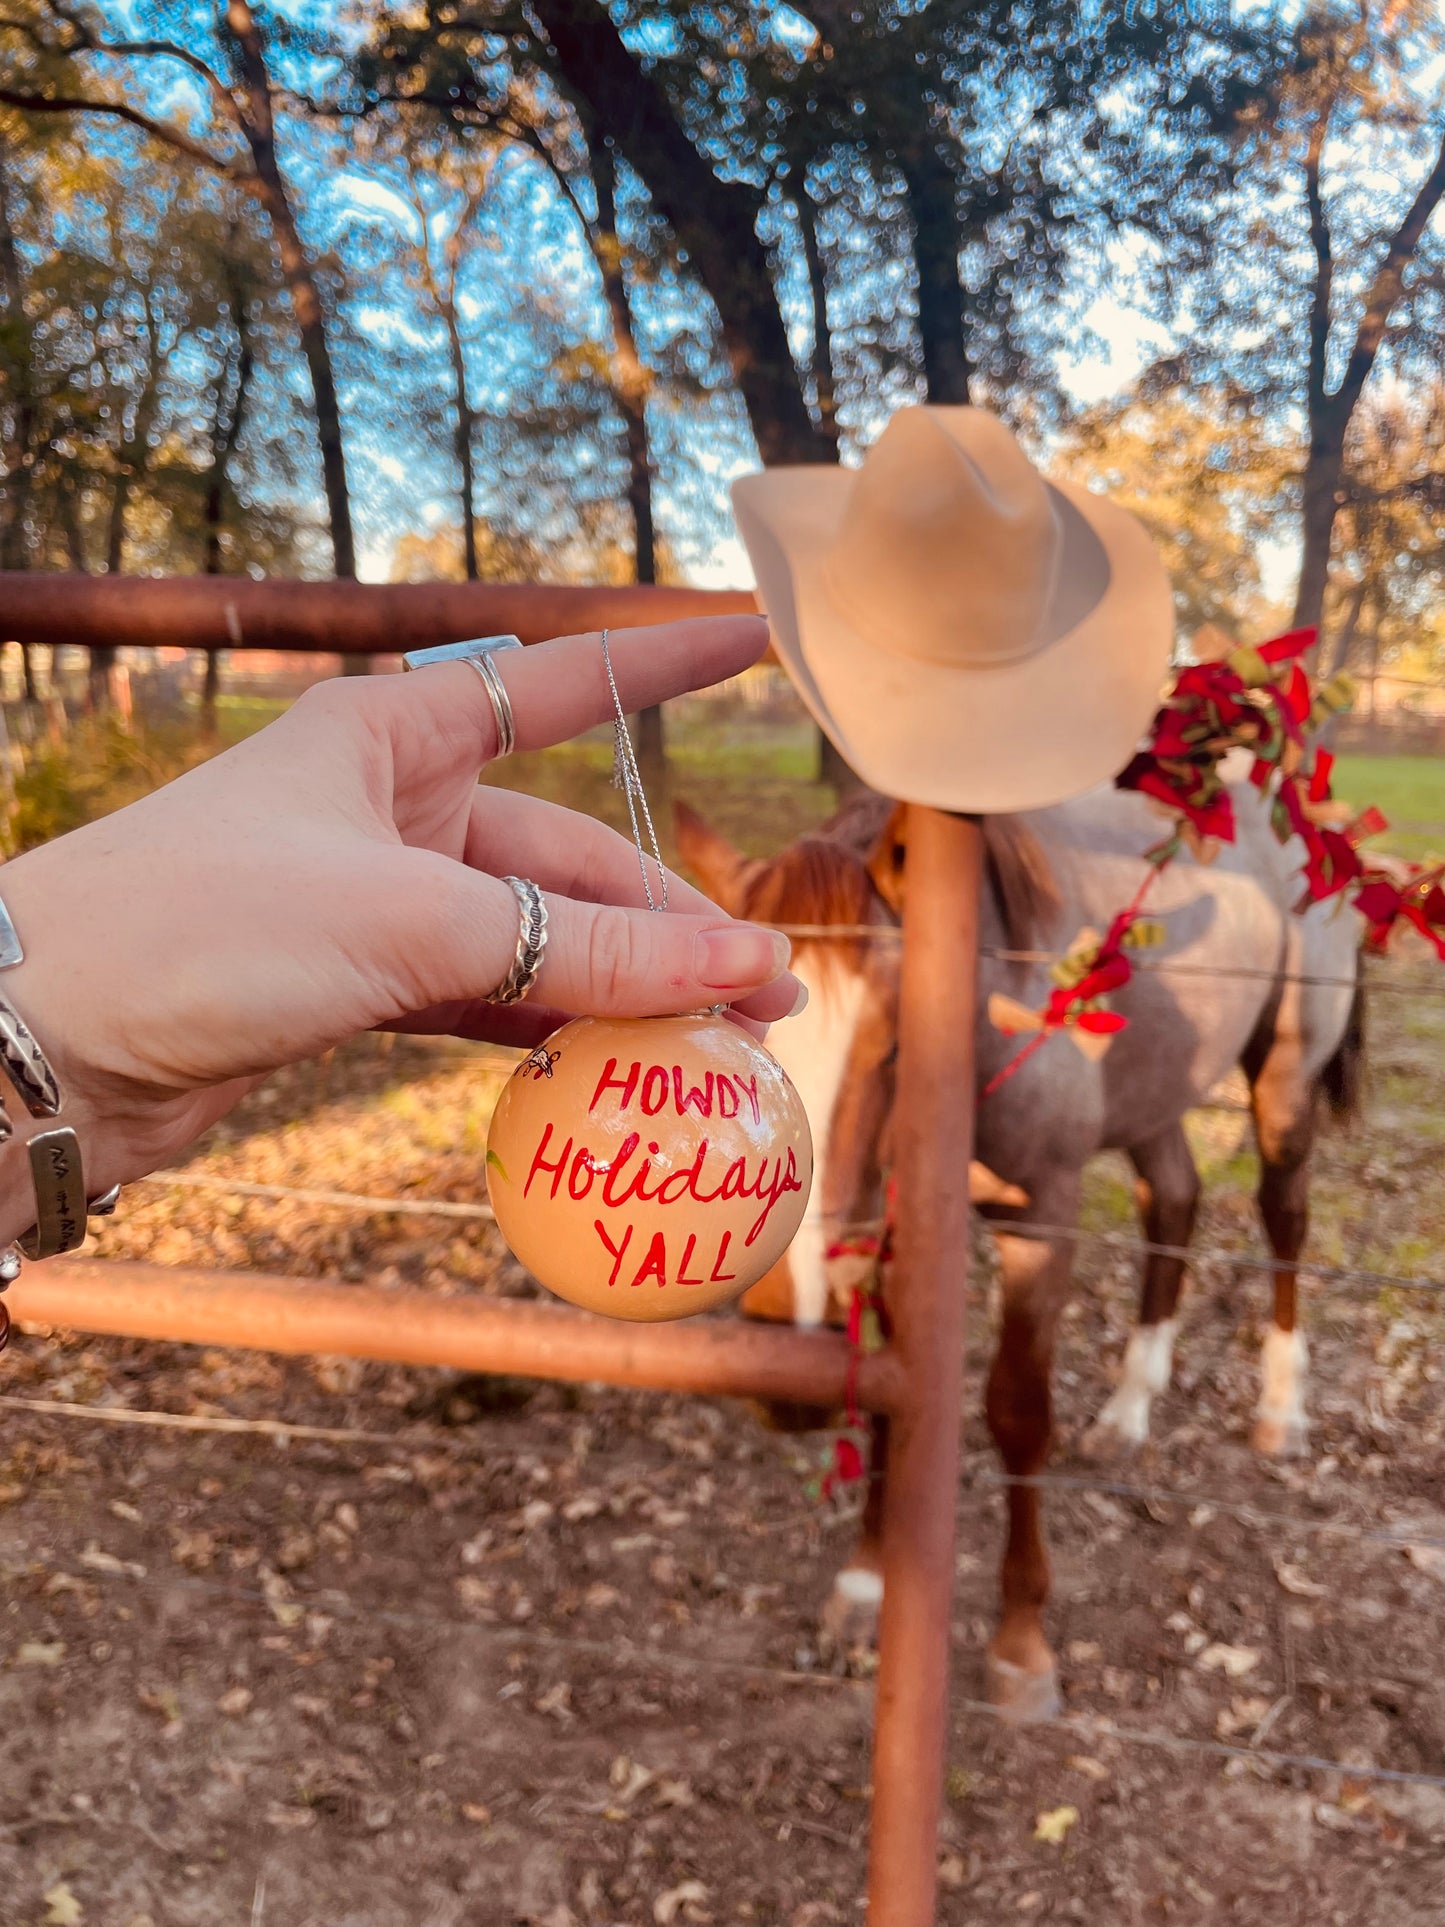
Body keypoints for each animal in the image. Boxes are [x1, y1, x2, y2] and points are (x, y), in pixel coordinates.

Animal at [674, 778, 1364, 1718]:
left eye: (895, 1044)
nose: (787, 1353)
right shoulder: (899, 1231)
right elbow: (892, 1398)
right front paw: (865, 1585)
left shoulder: (1041, 1222)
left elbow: (1016, 1412)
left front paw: (1020, 1642)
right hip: (1155, 1096)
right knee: (1173, 1203)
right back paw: (1127, 1410)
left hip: (1285, 1084)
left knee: (1284, 1219)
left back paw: (1281, 1408)